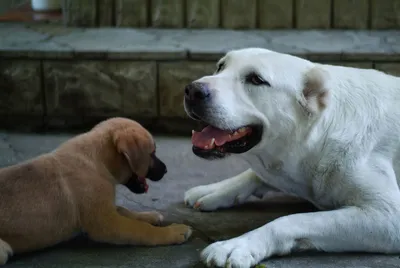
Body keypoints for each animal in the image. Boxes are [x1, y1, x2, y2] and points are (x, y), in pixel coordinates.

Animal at [0, 116, 192, 264]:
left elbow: (125, 210)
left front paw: (149, 216)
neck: (97, 161)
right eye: (152, 153)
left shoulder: (105, 208)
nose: (166, 170)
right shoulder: (105, 222)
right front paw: (172, 232)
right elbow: (140, 229)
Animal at [183, 48, 400, 268]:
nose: (193, 90)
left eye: (256, 79)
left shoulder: (389, 217)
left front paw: (239, 245)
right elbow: (253, 175)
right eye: (220, 66)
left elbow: (291, 220)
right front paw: (216, 189)